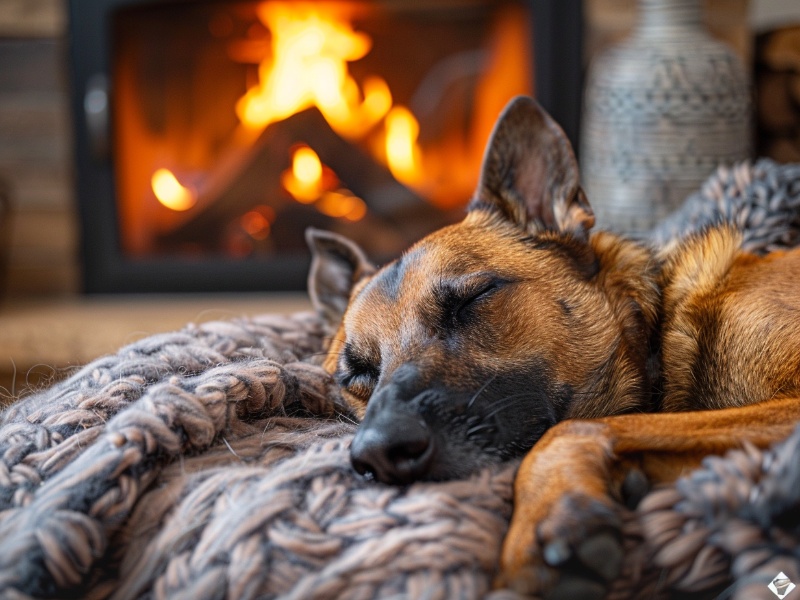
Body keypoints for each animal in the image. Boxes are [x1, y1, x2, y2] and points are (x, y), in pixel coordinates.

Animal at [304, 97, 800, 596]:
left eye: (472, 299)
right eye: (356, 372)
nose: (379, 454)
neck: (658, 335)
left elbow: (568, 430)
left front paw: (548, 516)